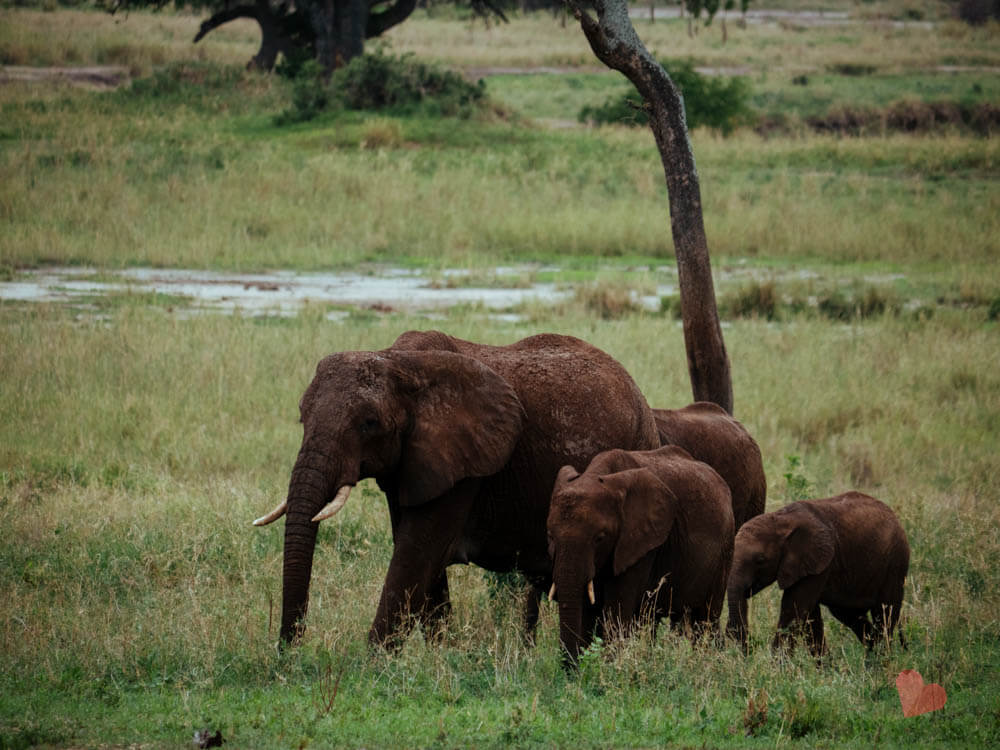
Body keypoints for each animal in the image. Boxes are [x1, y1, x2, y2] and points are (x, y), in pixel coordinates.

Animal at [250, 332, 660, 648]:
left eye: (369, 423)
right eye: (302, 416)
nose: (288, 651)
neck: (400, 361)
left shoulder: (466, 467)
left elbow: (415, 556)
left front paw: (369, 667)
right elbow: (421, 562)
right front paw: (442, 655)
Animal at [548, 446, 736, 664]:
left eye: (599, 538)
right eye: (550, 535)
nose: (570, 668)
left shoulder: (642, 544)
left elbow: (617, 610)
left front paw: (609, 665)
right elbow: (588, 609)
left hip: (725, 549)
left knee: (706, 618)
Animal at [724, 490, 912, 656]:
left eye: (760, 560)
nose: (750, 648)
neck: (780, 519)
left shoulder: (819, 562)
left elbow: (793, 610)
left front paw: (779, 668)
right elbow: (809, 617)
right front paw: (827, 670)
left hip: (895, 563)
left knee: (885, 614)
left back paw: (881, 663)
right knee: (849, 615)